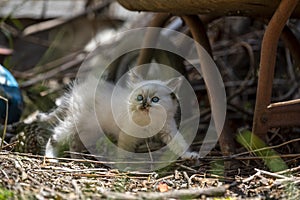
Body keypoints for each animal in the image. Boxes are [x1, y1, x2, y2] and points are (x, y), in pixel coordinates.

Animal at [41, 69, 198, 161]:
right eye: (139, 97)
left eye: (155, 100)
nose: (144, 104)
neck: (148, 121)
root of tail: (77, 90)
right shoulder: (127, 135)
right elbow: (124, 151)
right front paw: (124, 164)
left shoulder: (169, 131)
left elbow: (180, 144)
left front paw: (189, 156)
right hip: (77, 122)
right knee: (55, 136)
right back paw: (51, 158)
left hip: (91, 130)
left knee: (74, 141)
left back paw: (78, 158)